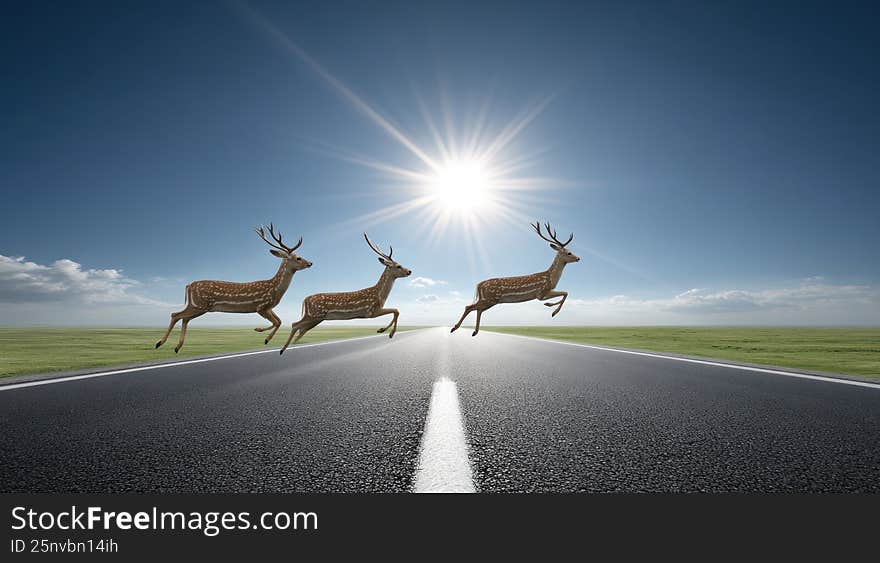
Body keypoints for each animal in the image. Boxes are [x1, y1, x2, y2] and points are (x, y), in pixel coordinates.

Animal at [155, 224, 312, 353]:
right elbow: (276, 322)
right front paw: (262, 334)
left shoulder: (269, 307)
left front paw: (263, 335)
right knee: (175, 315)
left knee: (184, 318)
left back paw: (177, 347)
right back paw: (159, 343)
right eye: (298, 258)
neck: (274, 289)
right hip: (200, 304)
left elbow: (279, 321)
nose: (310, 263)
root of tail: (189, 285)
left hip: (198, 306)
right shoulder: (261, 306)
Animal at [279, 233, 411, 354]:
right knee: (295, 324)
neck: (380, 295)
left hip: (315, 318)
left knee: (300, 328)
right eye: (398, 266)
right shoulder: (371, 310)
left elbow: (396, 311)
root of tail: (305, 299)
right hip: (314, 314)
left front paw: (383, 330)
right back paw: (282, 350)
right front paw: (386, 332)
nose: (409, 271)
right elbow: (396, 310)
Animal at [451, 221, 580, 337]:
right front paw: (552, 310)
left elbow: (565, 293)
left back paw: (474, 332)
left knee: (478, 309)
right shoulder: (541, 293)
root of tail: (479, 284)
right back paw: (454, 328)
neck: (550, 278)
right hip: (490, 298)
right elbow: (565, 293)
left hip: (489, 300)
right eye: (569, 253)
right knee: (469, 307)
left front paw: (550, 307)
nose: (578, 258)